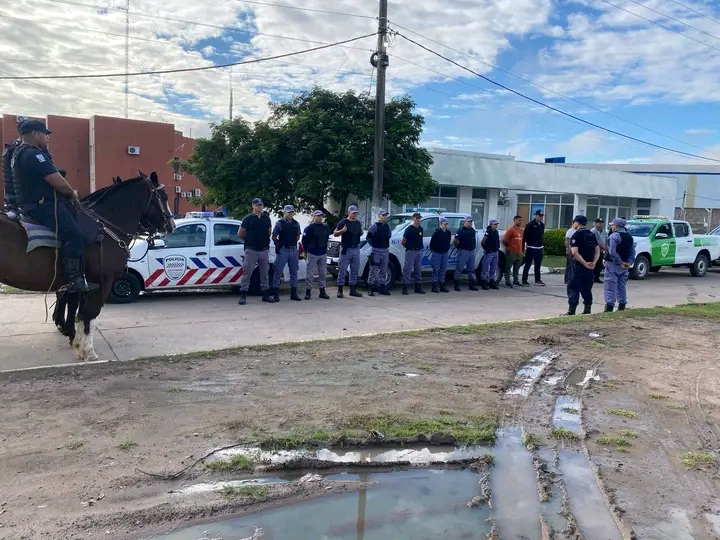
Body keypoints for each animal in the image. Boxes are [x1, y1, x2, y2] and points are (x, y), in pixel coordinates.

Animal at [0, 171, 174, 362]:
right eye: (164, 196)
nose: (171, 226)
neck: (105, 229)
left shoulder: (82, 285)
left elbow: (79, 311)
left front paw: (74, 339)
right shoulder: (100, 283)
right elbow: (89, 313)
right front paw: (87, 350)